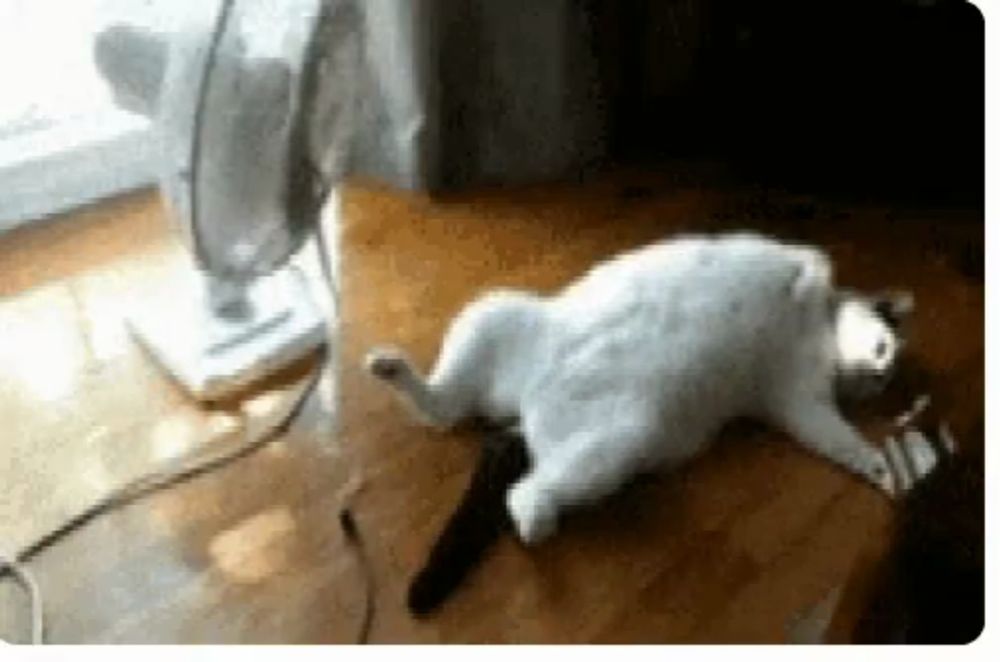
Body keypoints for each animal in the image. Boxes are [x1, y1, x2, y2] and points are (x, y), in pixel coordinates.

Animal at [368, 233, 916, 548]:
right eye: (884, 349)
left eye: (882, 381)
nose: (877, 374)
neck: (817, 338)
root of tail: (527, 401)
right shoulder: (795, 263)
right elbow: (812, 261)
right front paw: (808, 282)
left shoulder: (800, 403)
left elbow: (841, 441)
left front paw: (884, 469)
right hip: (497, 311)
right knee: (476, 442)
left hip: (612, 440)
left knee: (456, 421)